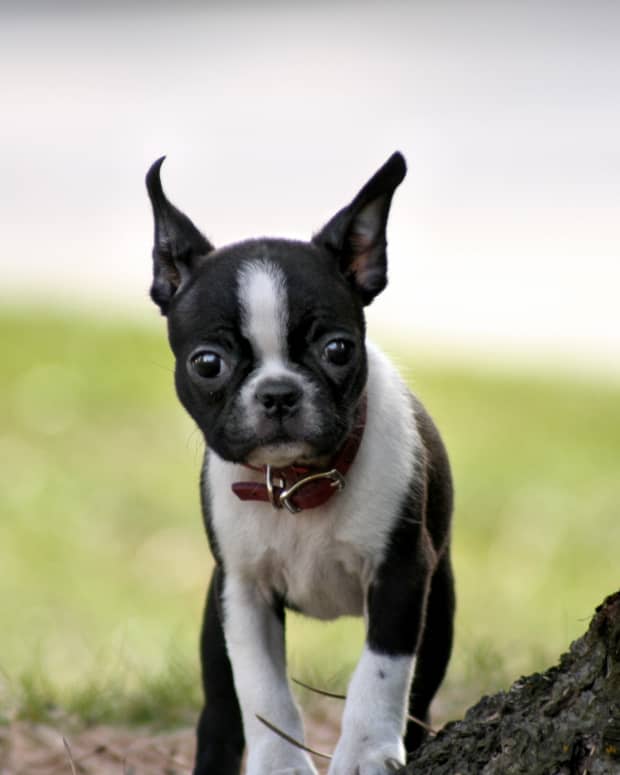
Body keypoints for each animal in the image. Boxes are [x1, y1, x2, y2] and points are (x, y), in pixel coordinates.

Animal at [145, 153, 456, 775]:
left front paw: (364, 751)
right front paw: (280, 763)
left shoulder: (404, 574)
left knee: (421, 691)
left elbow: (381, 672)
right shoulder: (242, 591)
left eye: (337, 350)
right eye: (207, 363)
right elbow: (261, 687)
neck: (299, 484)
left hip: (442, 603)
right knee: (220, 704)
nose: (279, 393)